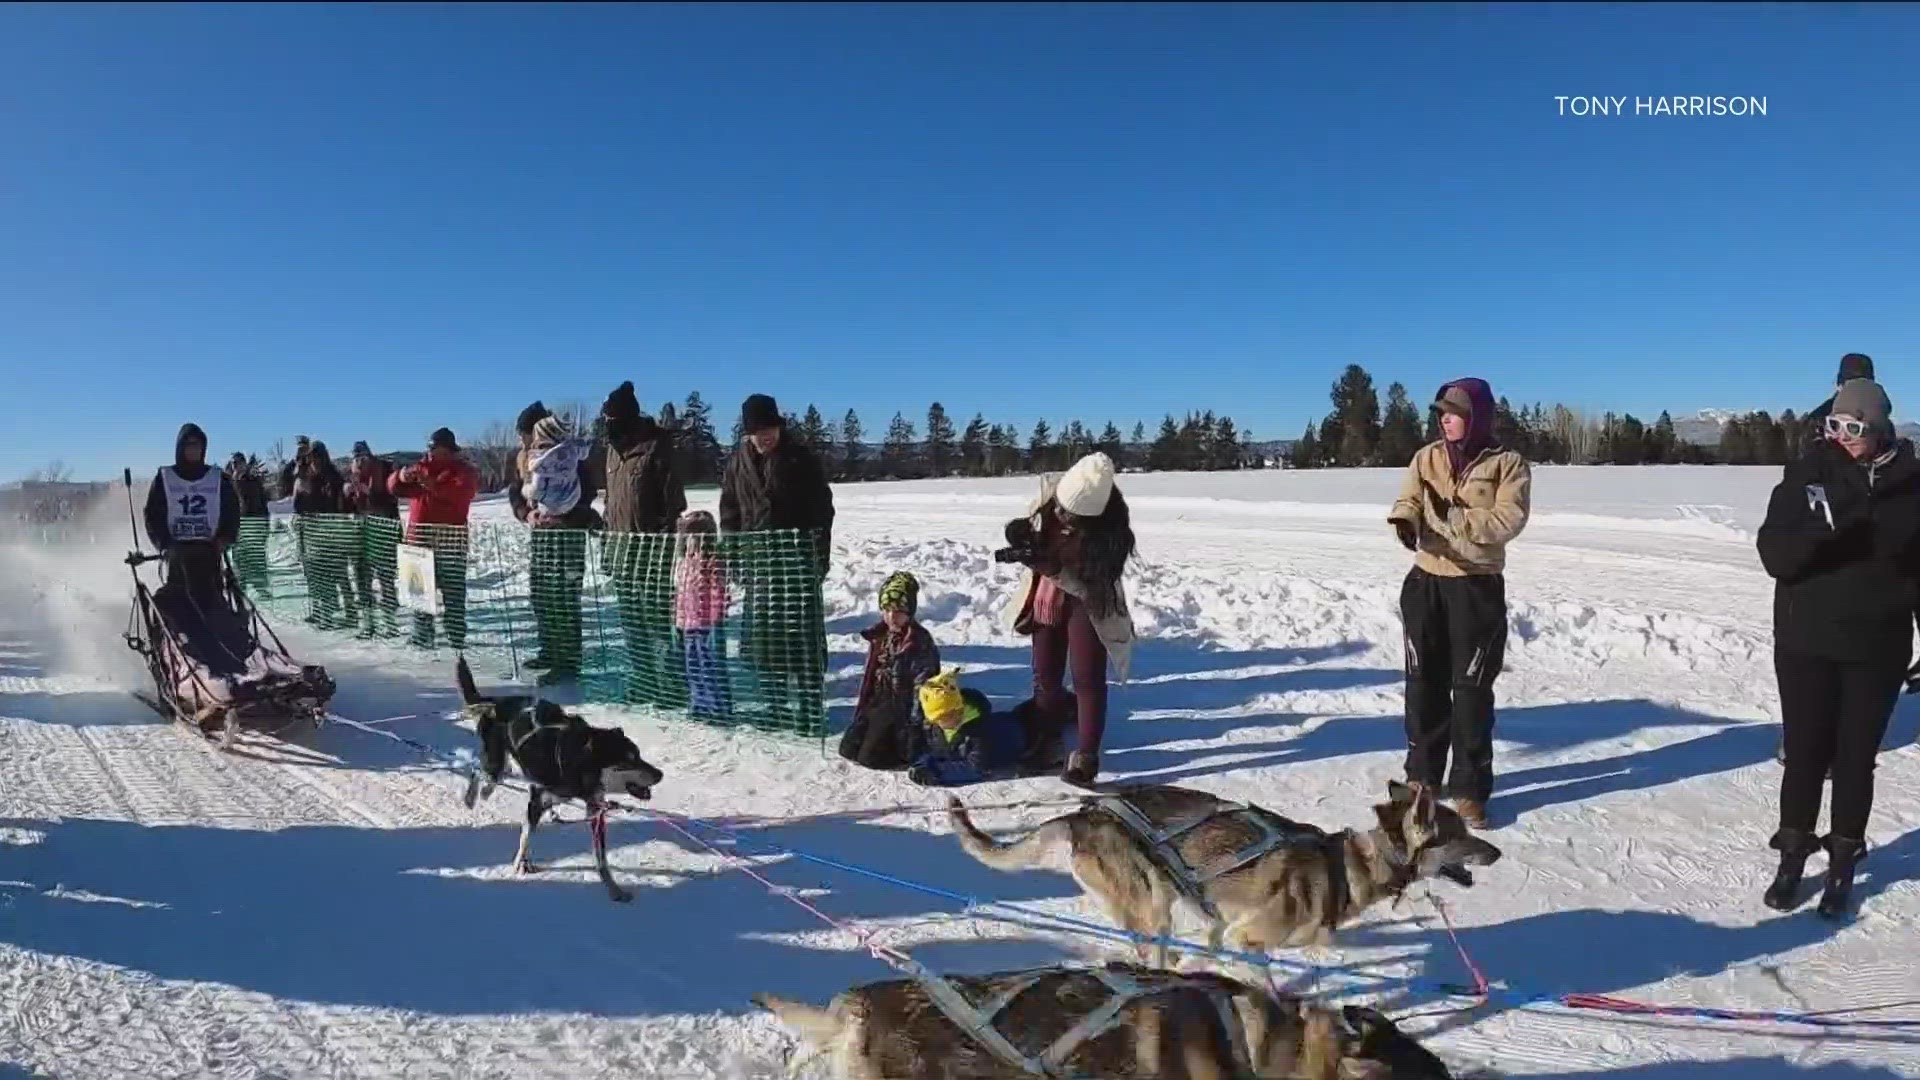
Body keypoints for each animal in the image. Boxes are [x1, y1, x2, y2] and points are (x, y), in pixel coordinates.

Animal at [453, 657, 664, 899]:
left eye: (639, 754)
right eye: (628, 760)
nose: (660, 774)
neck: (575, 764)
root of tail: (497, 703)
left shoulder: (595, 811)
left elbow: (601, 858)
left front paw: (614, 889)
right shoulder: (537, 800)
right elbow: (525, 837)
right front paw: (518, 864)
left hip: (505, 767)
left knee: (493, 775)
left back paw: (488, 793)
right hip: (494, 766)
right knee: (478, 771)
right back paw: (472, 798)